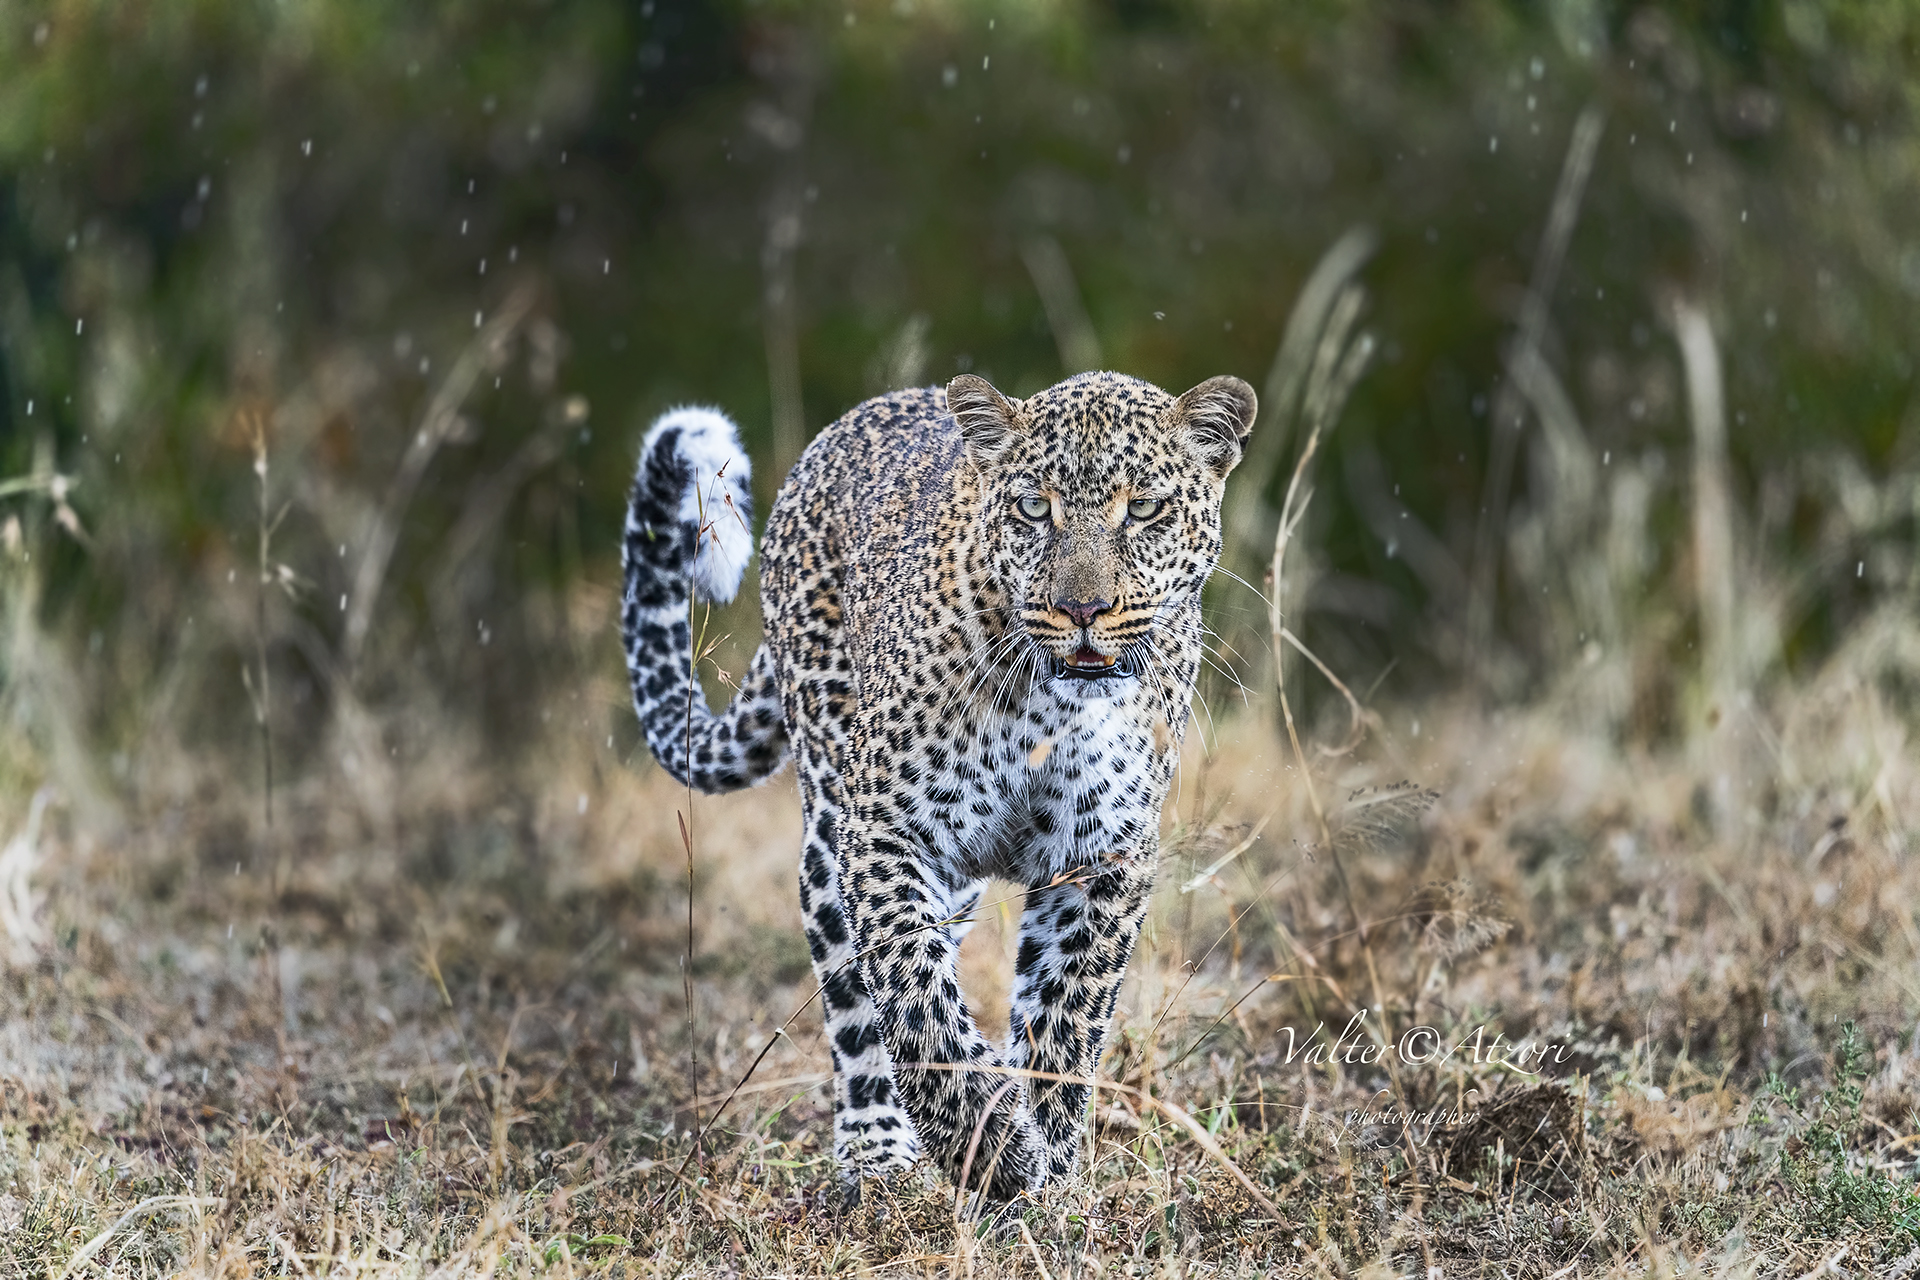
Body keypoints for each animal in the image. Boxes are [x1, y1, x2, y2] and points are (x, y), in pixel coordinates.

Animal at [620, 369, 1257, 1202]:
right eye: (1033, 508)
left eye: (1144, 508)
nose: (1083, 609)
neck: (1054, 705)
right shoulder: (890, 833)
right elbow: (914, 999)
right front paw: (995, 1149)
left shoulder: (1103, 858)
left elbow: (1066, 1021)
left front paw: (1051, 1176)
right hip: (833, 825)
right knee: (857, 1004)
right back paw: (879, 1155)